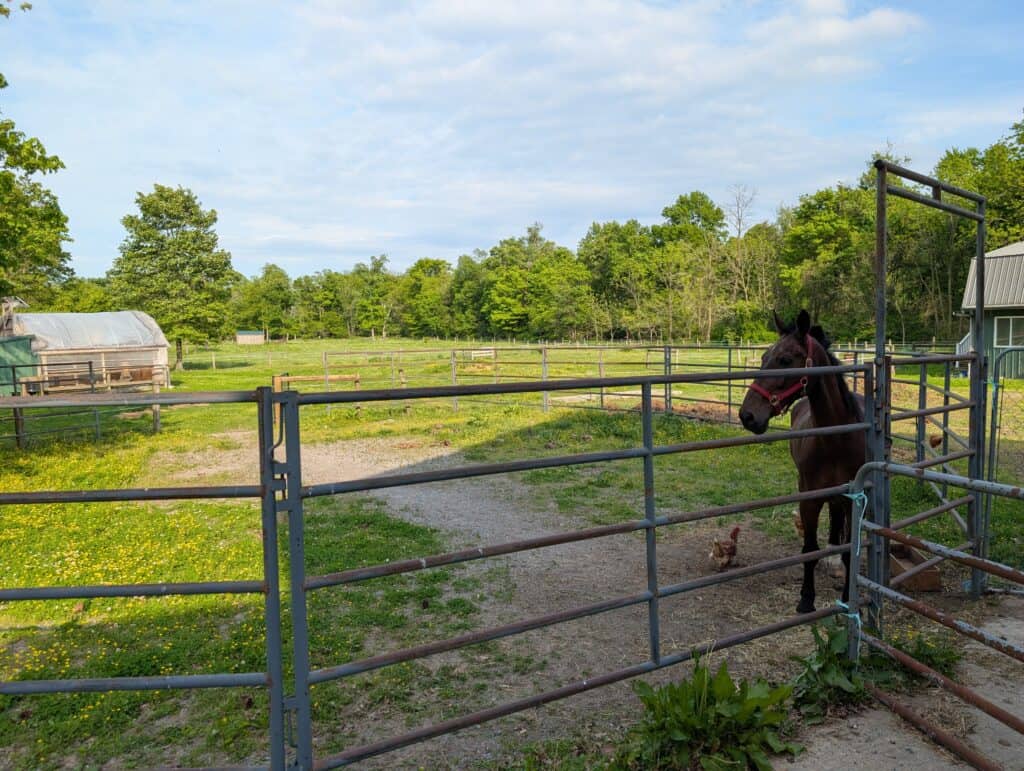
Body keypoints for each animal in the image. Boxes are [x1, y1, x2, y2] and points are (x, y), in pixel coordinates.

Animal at [738, 309, 865, 613]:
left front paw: (846, 598)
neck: (836, 441)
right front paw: (806, 599)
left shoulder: (851, 499)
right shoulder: (809, 499)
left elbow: (849, 552)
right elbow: (808, 550)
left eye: (785, 360)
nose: (747, 415)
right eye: (763, 357)